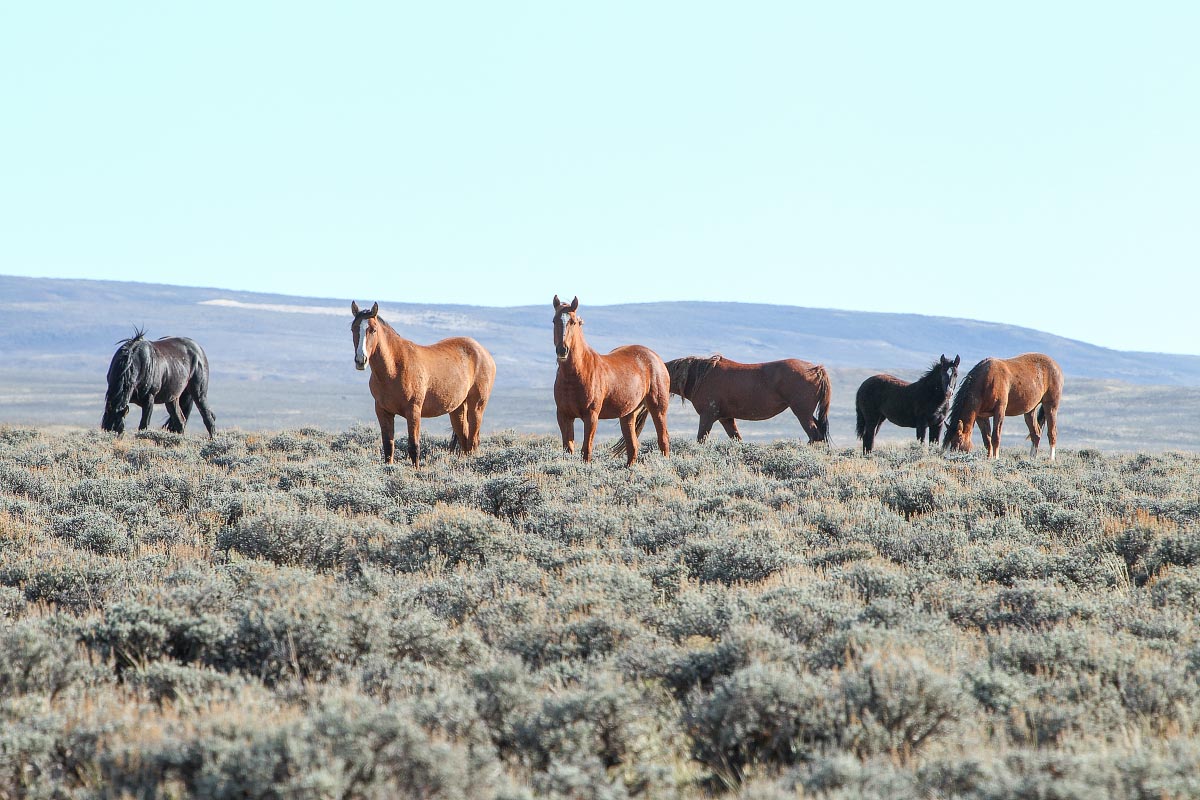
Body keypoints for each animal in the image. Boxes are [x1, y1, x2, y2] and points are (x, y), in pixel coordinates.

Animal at [350, 302, 494, 465]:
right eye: (353, 328)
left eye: (373, 329)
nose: (361, 360)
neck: (394, 367)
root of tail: (483, 352)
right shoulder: (383, 411)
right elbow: (388, 448)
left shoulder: (413, 410)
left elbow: (414, 447)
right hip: (457, 409)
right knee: (465, 441)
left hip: (476, 407)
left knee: (473, 441)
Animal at [549, 296, 672, 465]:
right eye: (554, 320)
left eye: (573, 321)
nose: (562, 350)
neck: (575, 375)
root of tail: (655, 357)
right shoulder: (563, 416)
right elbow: (568, 449)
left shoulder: (591, 416)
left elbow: (586, 450)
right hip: (628, 414)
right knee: (632, 446)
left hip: (658, 408)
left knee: (663, 440)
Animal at [662, 355, 830, 443]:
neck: (700, 377)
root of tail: (816, 369)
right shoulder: (726, 418)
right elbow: (736, 438)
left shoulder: (707, 416)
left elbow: (701, 439)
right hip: (807, 414)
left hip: (802, 413)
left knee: (814, 436)